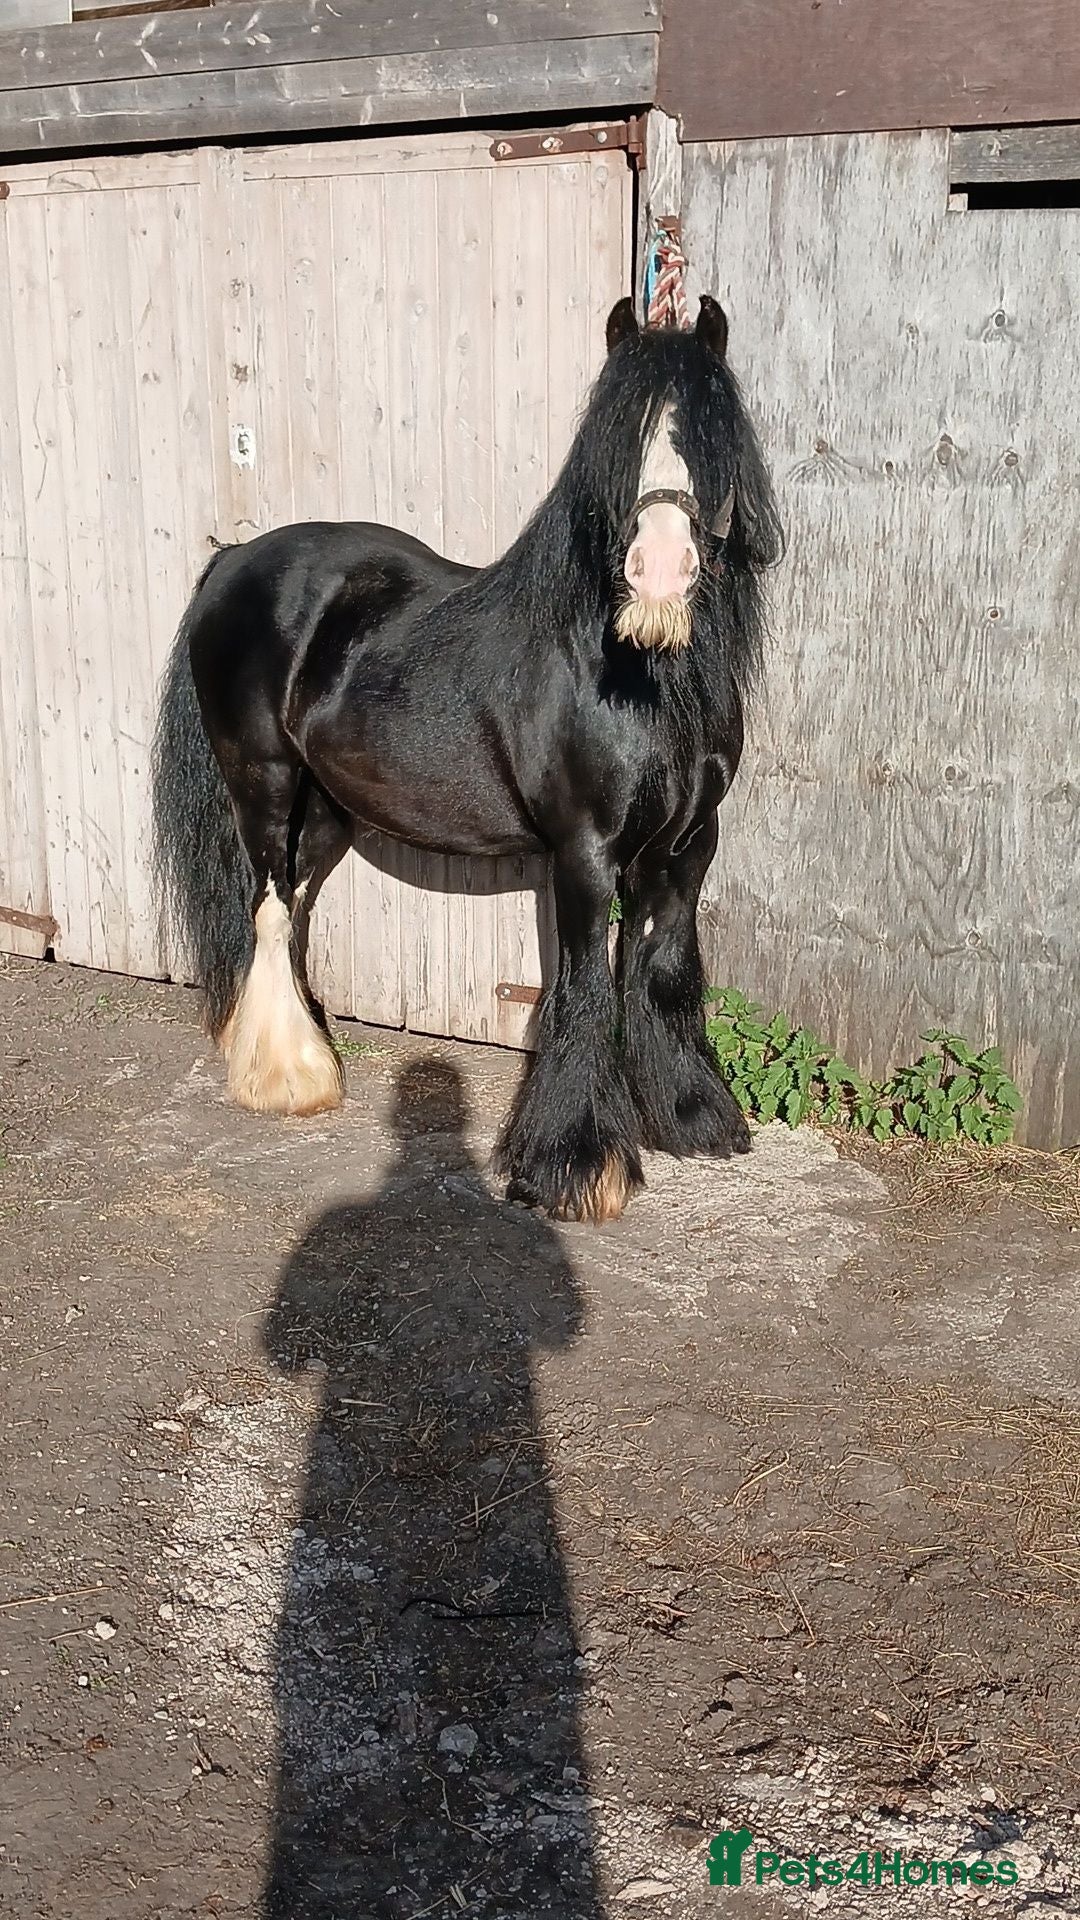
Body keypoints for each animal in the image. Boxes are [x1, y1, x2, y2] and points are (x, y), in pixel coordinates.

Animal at [151, 294, 783, 1223]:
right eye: (614, 439)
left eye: (710, 434)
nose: (660, 573)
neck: (640, 677)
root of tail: (233, 559)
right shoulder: (583, 854)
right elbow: (586, 989)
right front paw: (575, 1166)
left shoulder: (685, 849)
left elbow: (661, 970)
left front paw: (691, 1117)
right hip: (260, 782)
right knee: (266, 904)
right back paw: (290, 1077)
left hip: (329, 809)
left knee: (292, 909)